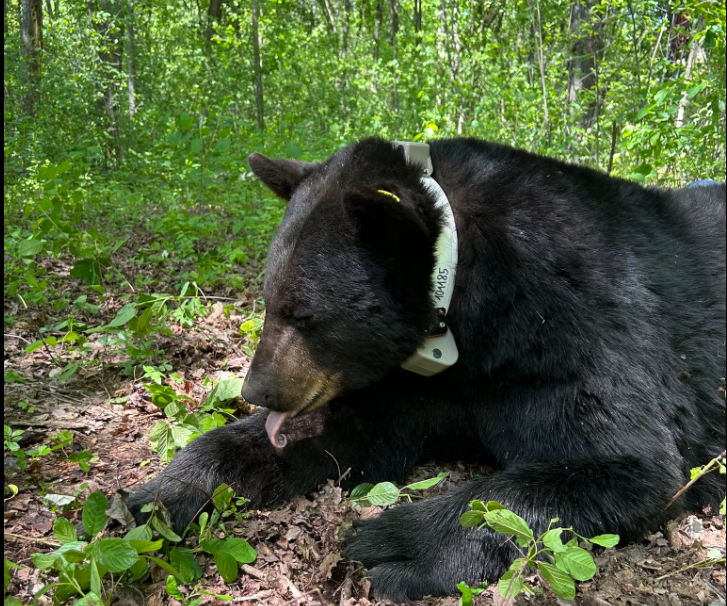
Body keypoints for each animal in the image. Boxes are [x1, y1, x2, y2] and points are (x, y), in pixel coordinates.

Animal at [129, 137, 726, 602]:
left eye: (304, 313)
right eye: (269, 301)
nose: (259, 390)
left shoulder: (578, 330)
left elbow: (625, 463)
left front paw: (395, 544)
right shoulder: (412, 382)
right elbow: (350, 431)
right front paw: (159, 494)